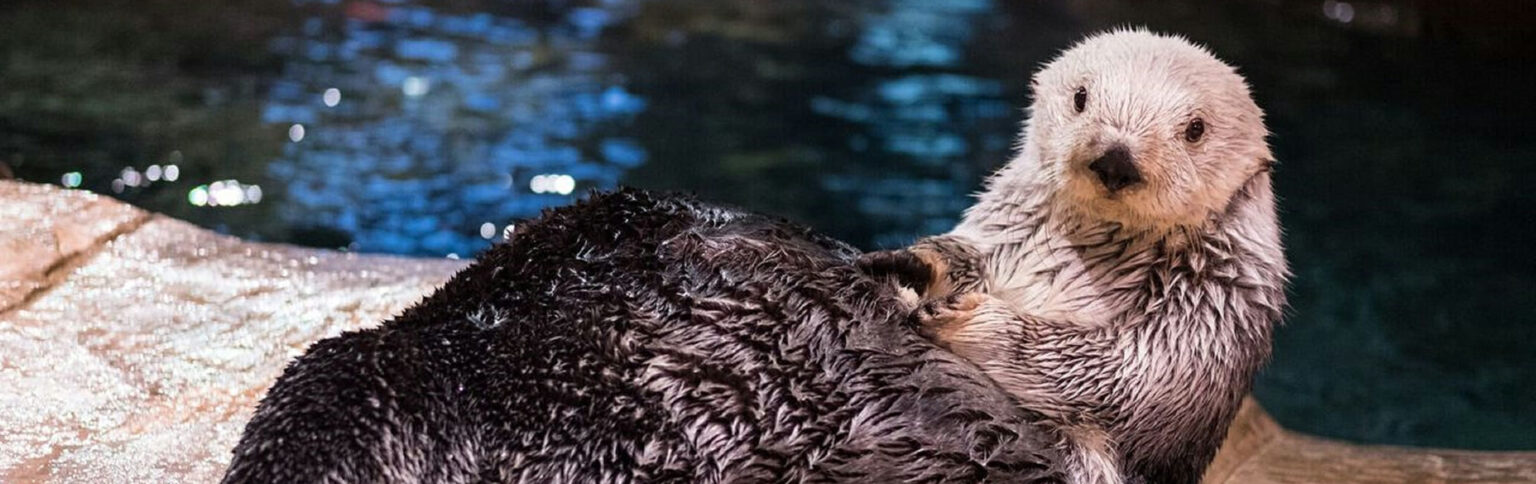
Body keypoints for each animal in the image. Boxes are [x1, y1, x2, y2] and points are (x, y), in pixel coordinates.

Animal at [866, 28, 1284, 482]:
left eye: (1195, 129)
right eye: (1081, 97)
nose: (1116, 160)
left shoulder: (1211, 301)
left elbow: (1124, 375)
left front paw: (965, 318)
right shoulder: (1006, 223)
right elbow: (971, 254)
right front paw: (913, 262)